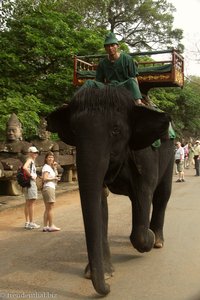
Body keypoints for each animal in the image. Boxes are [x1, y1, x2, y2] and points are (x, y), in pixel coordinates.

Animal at [46, 86, 174, 296]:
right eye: (74, 130)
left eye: (116, 130)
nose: (108, 289)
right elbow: (99, 202)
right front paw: (104, 274)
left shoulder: (145, 155)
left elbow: (144, 192)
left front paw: (147, 237)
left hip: (170, 155)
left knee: (162, 195)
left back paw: (157, 241)